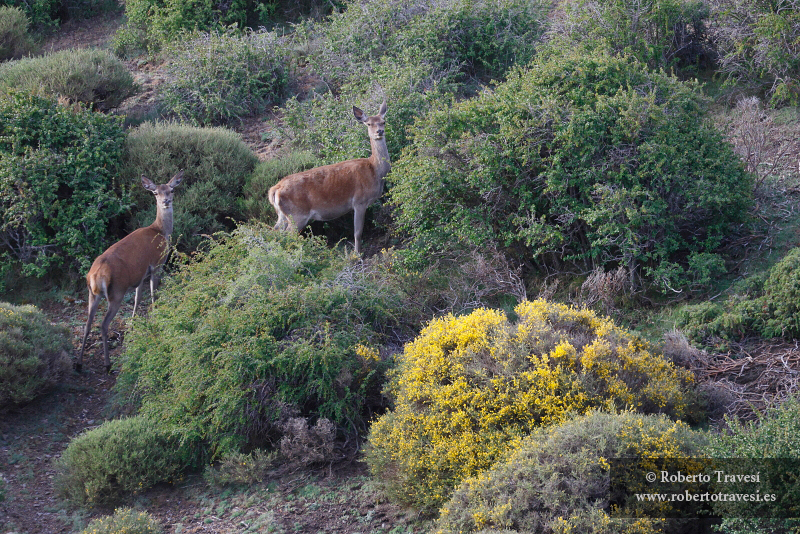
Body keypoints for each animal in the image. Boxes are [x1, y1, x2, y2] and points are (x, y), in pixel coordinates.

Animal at [77, 172, 184, 372]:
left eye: (171, 190)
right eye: (156, 193)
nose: (166, 201)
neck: (160, 231)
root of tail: (96, 275)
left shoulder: (139, 276)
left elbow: (137, 300)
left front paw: (134, 325)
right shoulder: (156, 265)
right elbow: (152, 295)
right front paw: (155, 317)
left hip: (92, 294)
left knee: (87, 324)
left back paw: (79, 364)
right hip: (116, 292)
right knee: (103, 324)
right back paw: (107, 364)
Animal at [268, 101, 390, 255]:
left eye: (383, 121)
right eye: (368, 123)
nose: (379, 132)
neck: (375, 171)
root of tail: (275, 189)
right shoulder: (359, 201)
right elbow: (357, 232)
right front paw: (357, 254)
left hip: (282, 215)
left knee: (275, 231)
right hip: (297, 215)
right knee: (288, 235)